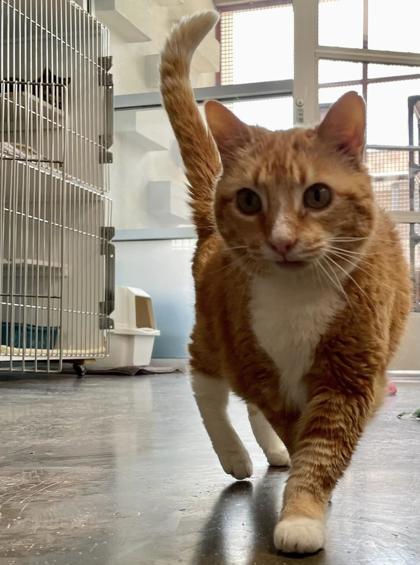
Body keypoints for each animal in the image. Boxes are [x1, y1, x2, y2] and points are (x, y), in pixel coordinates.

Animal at [160, 11, 410, 552]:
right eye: (249, 200)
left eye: (317, 195)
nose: (281, 240)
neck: (298, 302)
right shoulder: (260, 365)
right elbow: (296, 434)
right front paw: (303, 496)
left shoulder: (348, 377)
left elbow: (320, 449)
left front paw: (302, 510)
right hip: (217, 334)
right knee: (207, 387)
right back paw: (236, 454)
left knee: (247, 406)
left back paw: (272, 453)